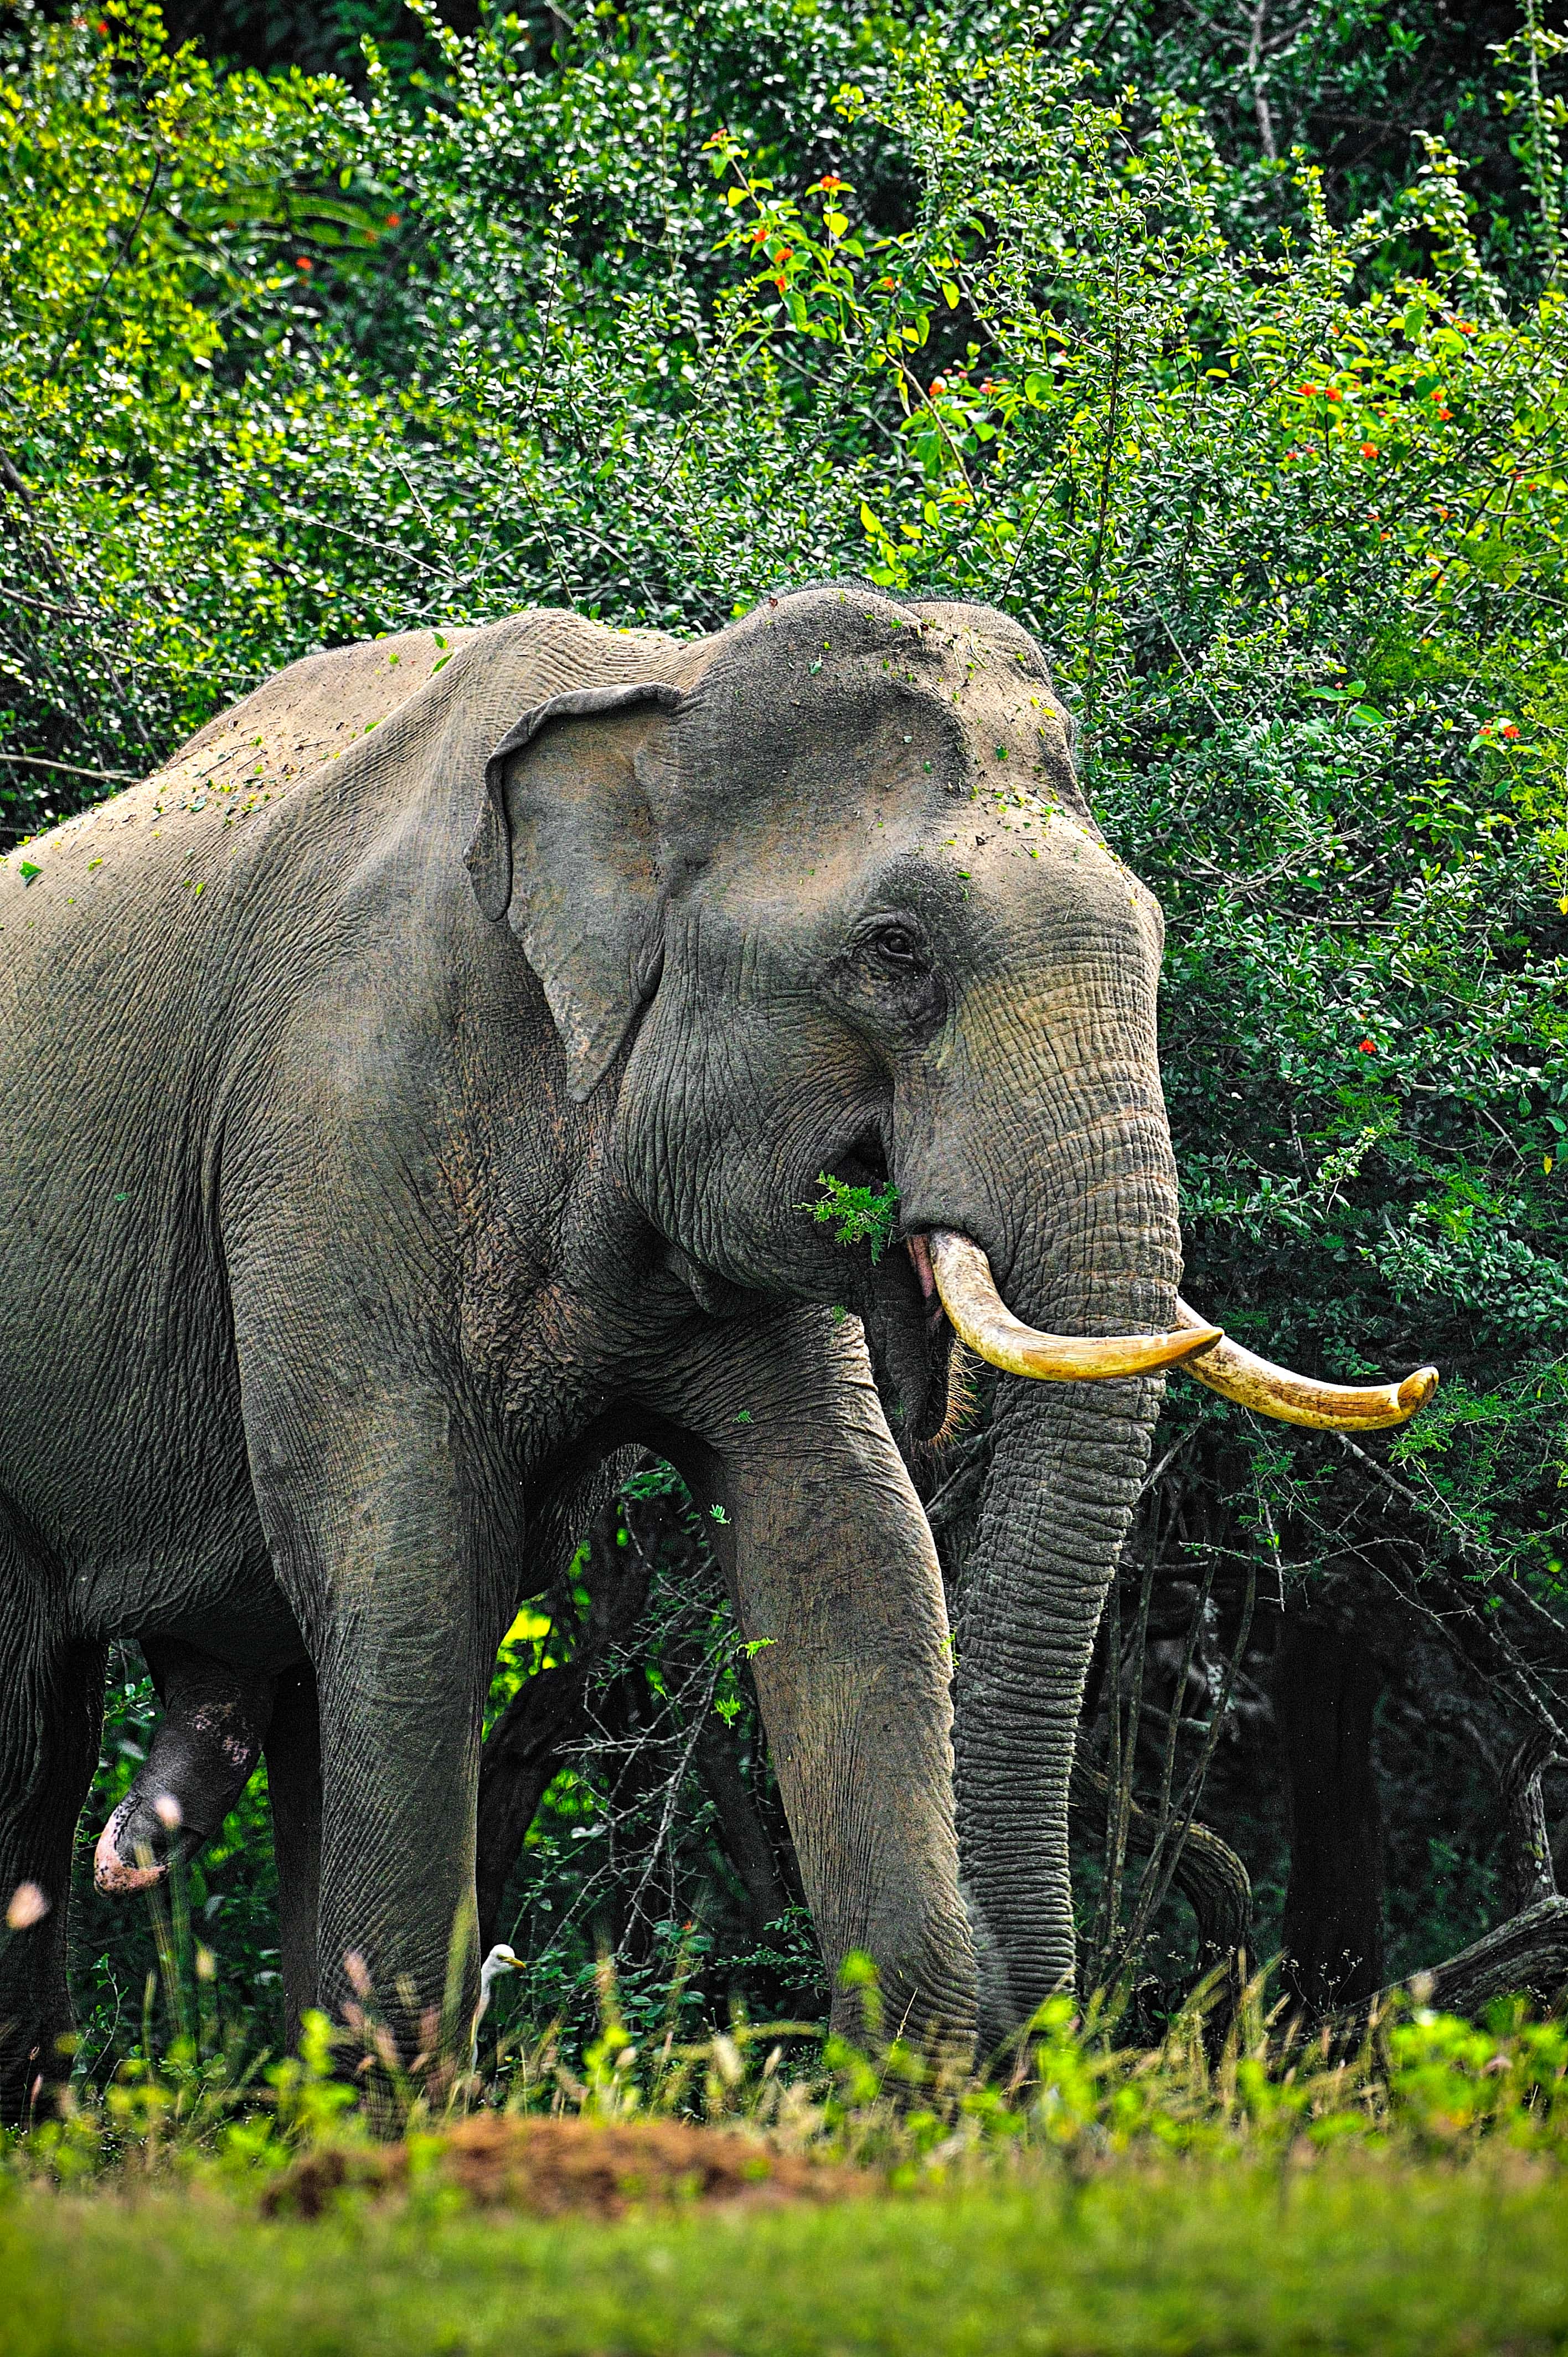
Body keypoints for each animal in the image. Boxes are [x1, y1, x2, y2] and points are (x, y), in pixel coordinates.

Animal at [0, 583, 1436, 2115]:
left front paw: (915, 2104)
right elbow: (412, 1569)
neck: (663, 700)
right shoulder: (334, 1112)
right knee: (36, 1727)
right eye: (895, 951)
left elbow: (848, 1547)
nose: (1037, 2016)